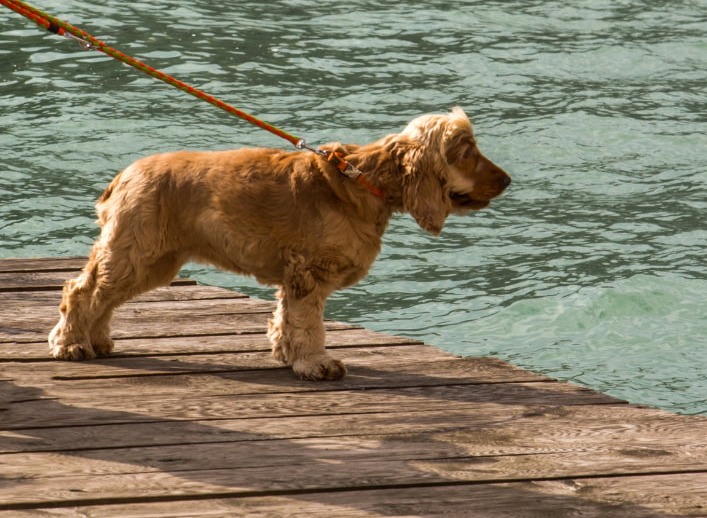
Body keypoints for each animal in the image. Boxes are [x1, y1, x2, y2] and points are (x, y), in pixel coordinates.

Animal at [48, 107, 508, 382]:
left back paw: (95, 340)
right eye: (466, 152)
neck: (364, 179)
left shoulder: (295, 275)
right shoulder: (310, 272)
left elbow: (287, 318)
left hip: (154, 259)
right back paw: (69, 343)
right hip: (135, 249)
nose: (506, 180)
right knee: (82, 291)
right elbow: (308, 323)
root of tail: (125, 175)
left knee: (104, 297)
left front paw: (288, 356)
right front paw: (315, 362)